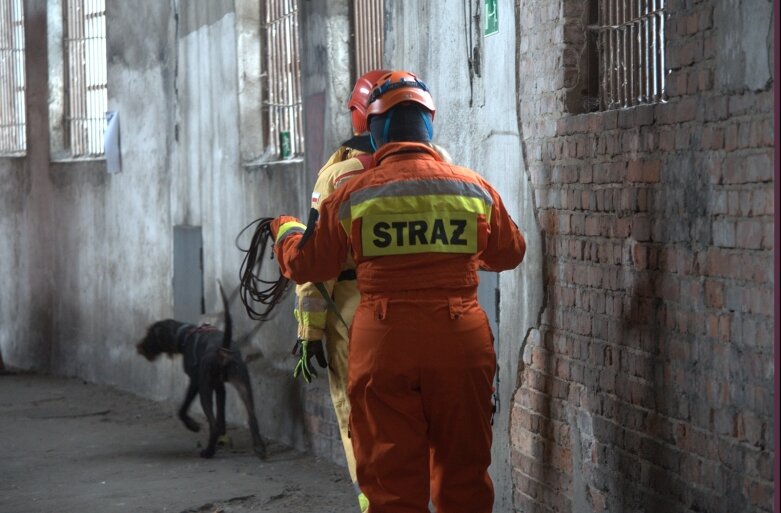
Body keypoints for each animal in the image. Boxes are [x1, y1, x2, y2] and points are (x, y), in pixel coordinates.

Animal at [137, 286, 266, 458]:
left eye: (149, 333)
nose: (139, 347)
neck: (184, 335)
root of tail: (223, 349)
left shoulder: (196, 381)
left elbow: (183, 409)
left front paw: (192, 425)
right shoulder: (219, 386)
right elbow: (221, 415)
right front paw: (223, 438)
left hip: (206, 389)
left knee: (213, 424)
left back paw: (208, 451)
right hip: (243, 384)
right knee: (252, 417)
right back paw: (259, 448)